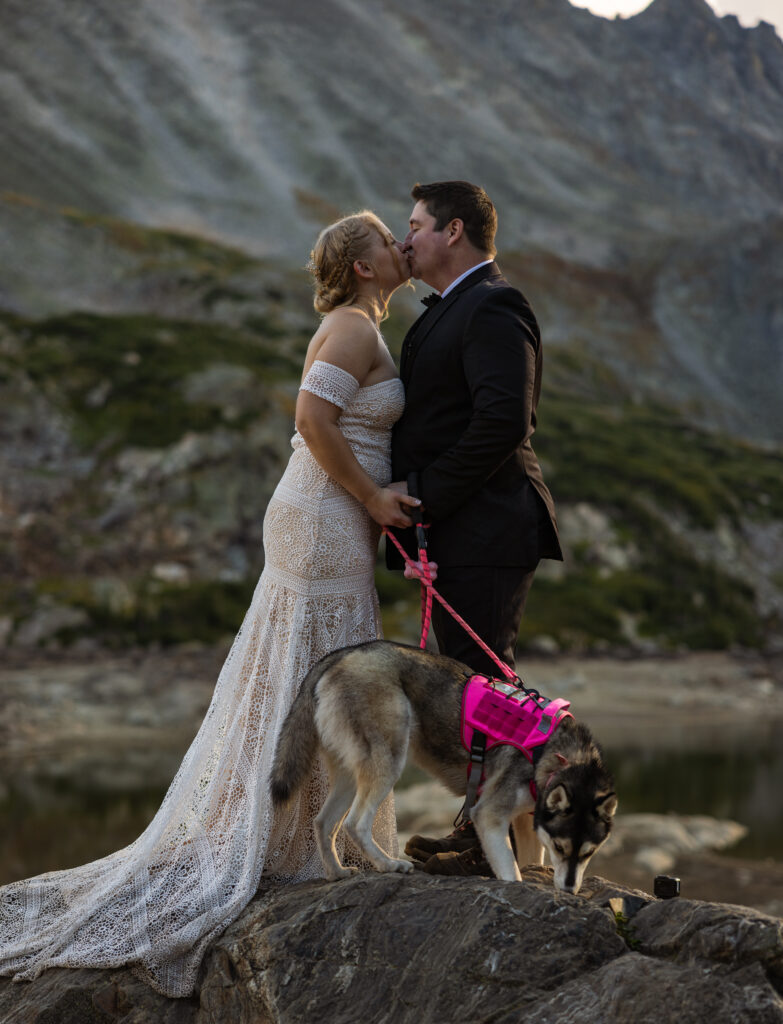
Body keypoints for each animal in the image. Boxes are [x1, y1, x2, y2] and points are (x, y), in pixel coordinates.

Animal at [270, 643, 618, 892]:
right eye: (561, 847)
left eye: (588, 854)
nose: (570, 890)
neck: (555, 754)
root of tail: (339, 655)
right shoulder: (488, 814)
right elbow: (511, 872)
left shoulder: (526, 822)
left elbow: (530, 862)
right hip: (388, 760)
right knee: (355, 823)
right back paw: (389, 865)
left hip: (349, 773)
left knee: (323, 823)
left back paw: (336, 872)